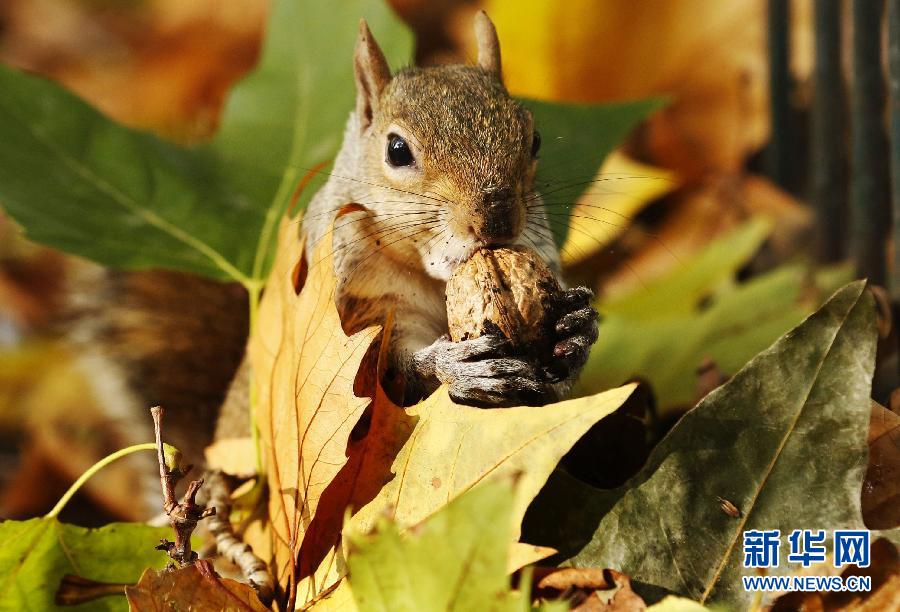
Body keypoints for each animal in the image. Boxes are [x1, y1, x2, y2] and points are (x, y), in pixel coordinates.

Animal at [70, 10, 600, 468]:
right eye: (397, 150)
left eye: (533, 138)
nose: (496, 221)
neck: (431, 276)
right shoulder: (354, 305)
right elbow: (380, 379)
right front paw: (456, 364)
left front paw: (577, 328)